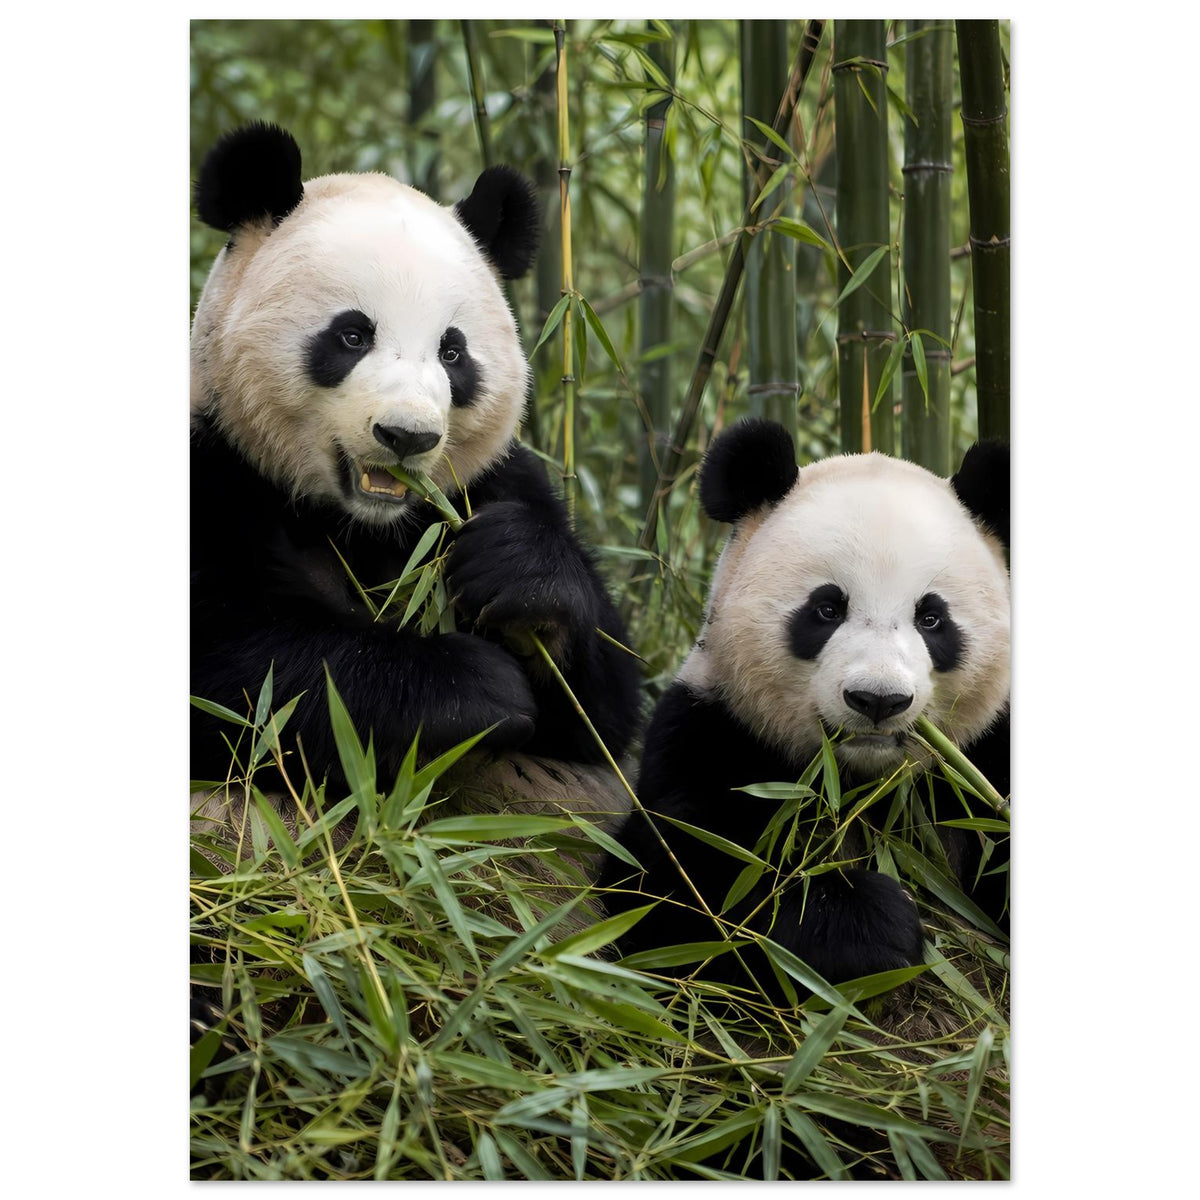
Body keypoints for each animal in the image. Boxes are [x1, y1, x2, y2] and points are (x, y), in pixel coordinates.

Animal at [190, 123, 640, 837]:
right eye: (351, 336)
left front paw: (520, 574)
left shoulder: (487, 484)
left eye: (452, 352)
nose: (407, 436)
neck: (358, 524)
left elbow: (605, 715)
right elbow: (241, 679)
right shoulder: (212, 470)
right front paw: (474, 687)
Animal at [599, 417, 1009, 996]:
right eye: (827, 609)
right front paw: (870, 923)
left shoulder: (986, 756)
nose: (878, 700)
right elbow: (684, 893)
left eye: (932, 619)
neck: (860, 783)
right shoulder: (714, 733)